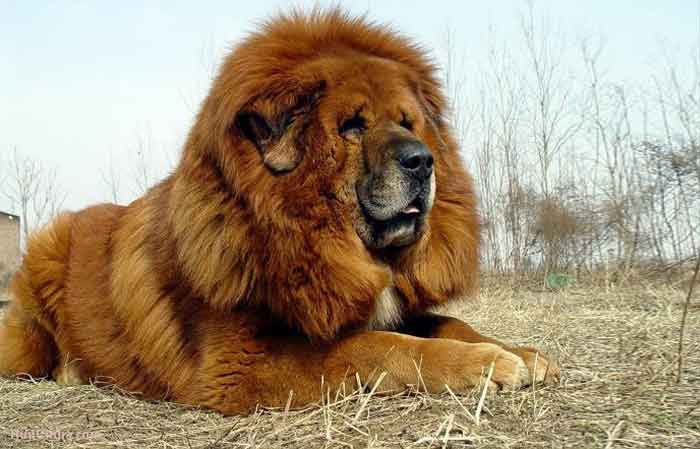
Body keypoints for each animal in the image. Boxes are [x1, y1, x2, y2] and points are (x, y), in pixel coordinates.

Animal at [0, 9, 556, 412]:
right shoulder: (239, 364)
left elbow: (445, 323)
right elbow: (378, 346)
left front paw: (518, 351)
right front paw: (486, 364)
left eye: (407, 123)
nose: (422, 161)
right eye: (353, 126)